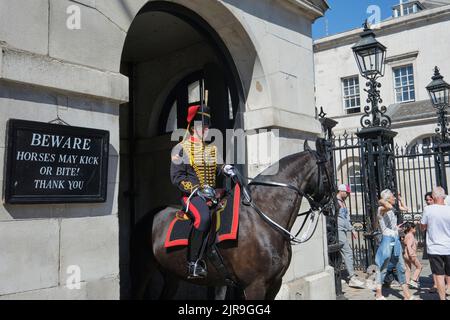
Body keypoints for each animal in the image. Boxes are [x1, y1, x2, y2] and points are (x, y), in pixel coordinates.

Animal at [130, 138, 334, 300]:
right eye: (329, 171)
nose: (334, 206)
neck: (263, 219)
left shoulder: (274, 284)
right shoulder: (255, 285)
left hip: (172, 275)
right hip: (143, 272)